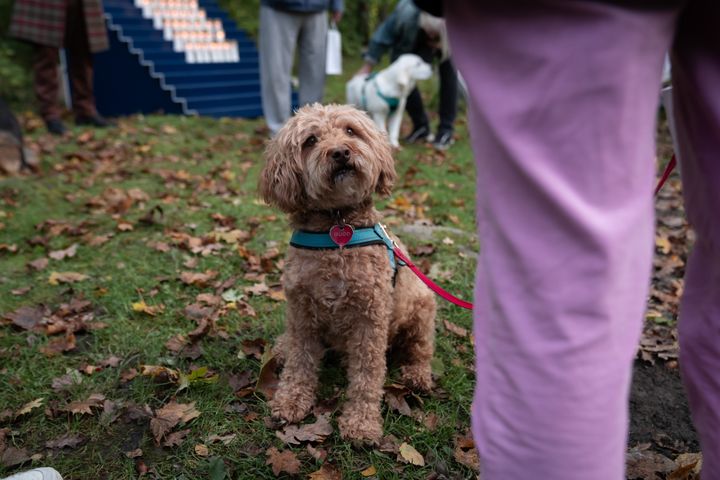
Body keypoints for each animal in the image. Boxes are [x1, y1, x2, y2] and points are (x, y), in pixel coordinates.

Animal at [260, 102, 438, 442]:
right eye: (311, 140)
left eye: (351, 131)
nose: (341, 152)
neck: (336, 227)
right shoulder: (302, 312)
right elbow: (300, 361)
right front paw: (291, 400)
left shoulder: (370, 319)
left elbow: (368, 375)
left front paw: (361, 422)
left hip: (422, 308)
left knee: (420, 350)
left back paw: (417, 375)